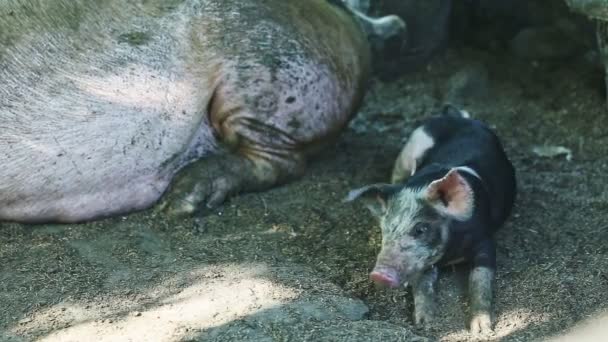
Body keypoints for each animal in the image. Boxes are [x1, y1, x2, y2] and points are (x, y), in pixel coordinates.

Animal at [344, 106, 516, 334]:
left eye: (420, 229)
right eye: (385, 229)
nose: (379, 275)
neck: (450, 255)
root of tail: (459, 117)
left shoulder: (485, 240)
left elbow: (481, 279)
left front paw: (481, 329)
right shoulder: (423, 261)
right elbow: (422, 284)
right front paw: (425, 324)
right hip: (407, 152)